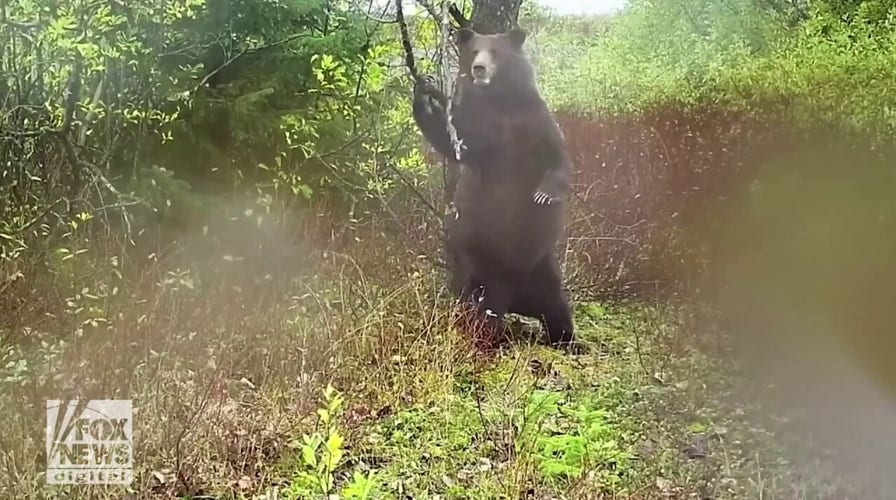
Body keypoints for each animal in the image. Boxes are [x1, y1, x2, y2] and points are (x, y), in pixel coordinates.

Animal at [414, 25, 580, 350]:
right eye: (475, 51)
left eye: (495, 51)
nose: (479, 68)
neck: (500, 102)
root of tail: (519, 298)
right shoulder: (480, 130)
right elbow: (455, 144)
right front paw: (424, 95)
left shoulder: (534, 120)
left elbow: (558, 157)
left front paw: (544, 194)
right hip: (479, 262)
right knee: (478, 302)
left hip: (543, 265)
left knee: (557, 304)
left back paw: (567, 340)